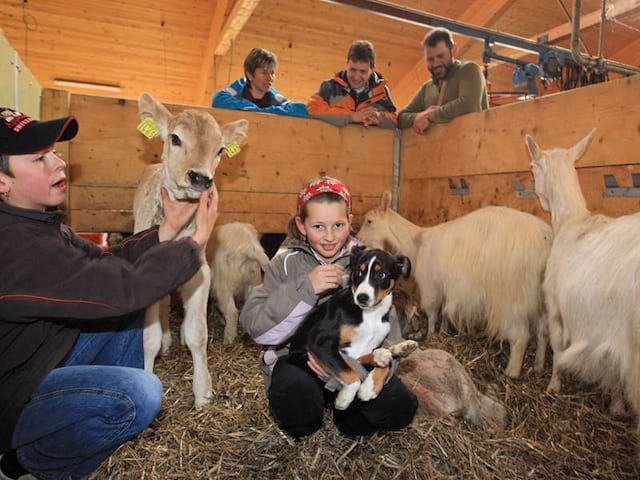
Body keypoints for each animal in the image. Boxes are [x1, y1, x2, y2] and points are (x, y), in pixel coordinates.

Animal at [133, 93, 248, 404]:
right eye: (175, 138)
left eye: (220, 149)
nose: (200, 178)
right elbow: (148, 338)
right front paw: (148, 372)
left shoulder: (201, 272)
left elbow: (199, 333)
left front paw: (203, 393)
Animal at [292, 248, 420, 408]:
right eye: (359, 272)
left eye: (381, 275)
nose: (362, 297)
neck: (371, 314)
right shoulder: (321, 342)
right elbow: (350, 374)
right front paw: (345, 398)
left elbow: (381, 365)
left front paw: (369, 388)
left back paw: (399, 349)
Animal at [358, 192, 552, 378]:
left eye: (369, 221)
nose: (359, 240)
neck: (418, 242)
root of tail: (545, 245)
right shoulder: (446, 286)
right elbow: (444, 311)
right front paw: (443, 331)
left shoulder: (430, 284)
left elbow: (432, 312)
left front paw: (430, 335)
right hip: (543, 301)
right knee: (543, 334)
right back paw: (538, 366)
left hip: (513, 298)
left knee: (520, 337)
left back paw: (512, 372)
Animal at [524, 130, 640, 420]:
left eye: (532, 167)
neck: (572, 220)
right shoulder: (608, 335)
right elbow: (612, 370)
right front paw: (617, 405)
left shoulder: (556, 304)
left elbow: (555, 345)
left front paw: (553, 384)